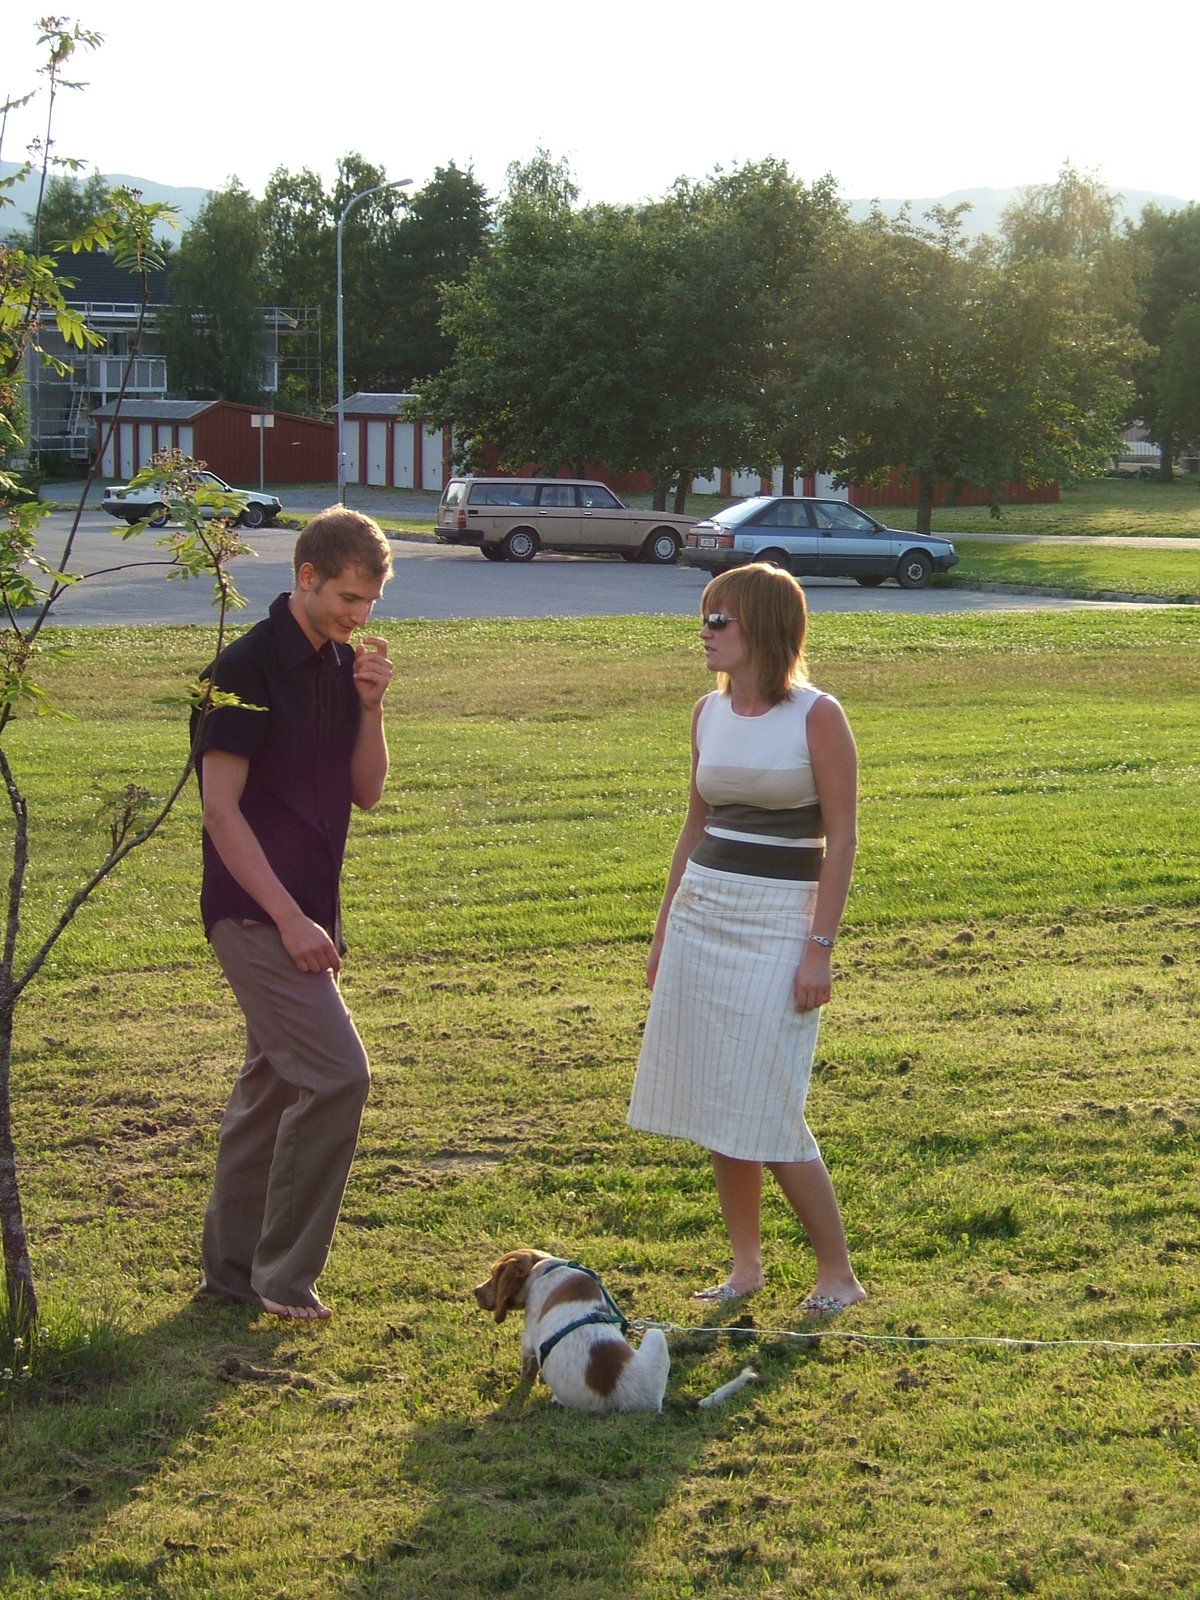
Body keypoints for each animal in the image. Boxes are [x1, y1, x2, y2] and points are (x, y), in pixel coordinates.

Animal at [474, 1249, 670, 1414]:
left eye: (493, 1275)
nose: (474, 1290)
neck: (545, 1268)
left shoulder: (528, 1341)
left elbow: (527, 1373)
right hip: (656, 1337)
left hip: (654, 1334)